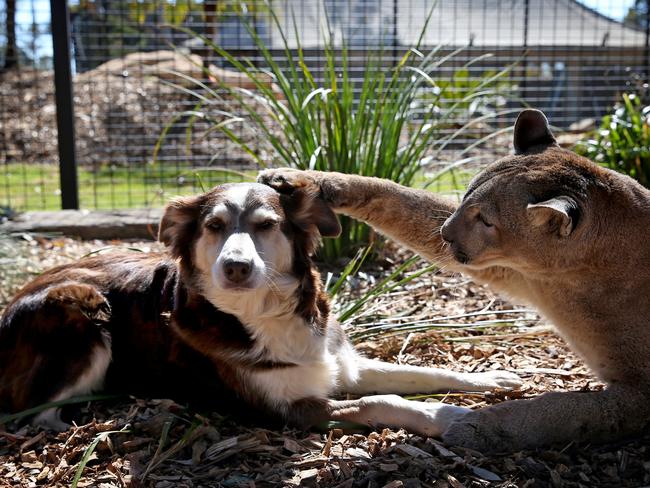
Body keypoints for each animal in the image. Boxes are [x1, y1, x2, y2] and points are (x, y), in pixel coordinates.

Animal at [0, 184, 520, 434]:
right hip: (81, 307)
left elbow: (415, 372)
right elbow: (383, 400)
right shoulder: (289, 410)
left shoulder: (338, 363)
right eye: (213, 226)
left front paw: (491, 379)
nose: (235, 266)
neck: (262, 312)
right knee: (34, 415)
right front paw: (449, 418)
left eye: (266, 225)